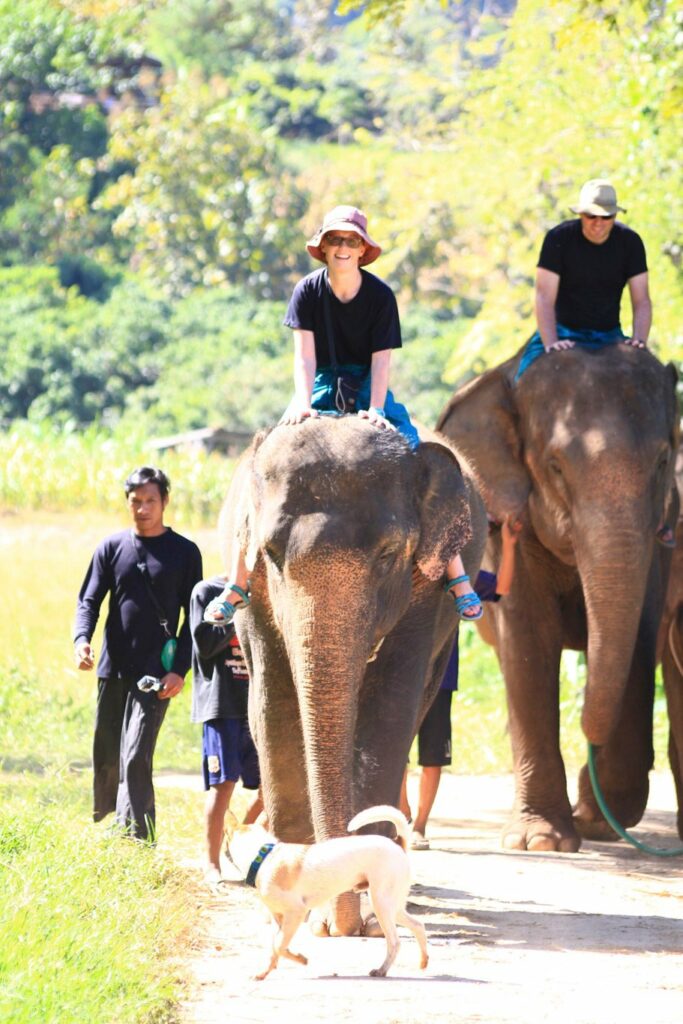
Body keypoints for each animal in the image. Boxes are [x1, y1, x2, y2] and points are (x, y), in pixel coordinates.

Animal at [220, 414, 486, 935]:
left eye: (387, 555)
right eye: (273, 553)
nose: (341, 926)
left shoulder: (425, 593)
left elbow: (389, 712)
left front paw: (358, 915)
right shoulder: (254, 587)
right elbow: (272, 707)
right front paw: (308, 908)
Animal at [437, 344, 679, 852]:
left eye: (663, 461)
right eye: (555, 467)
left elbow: (641, 638)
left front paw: (595, 821)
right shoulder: (511, 525)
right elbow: (529, 641)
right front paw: (541, 841)